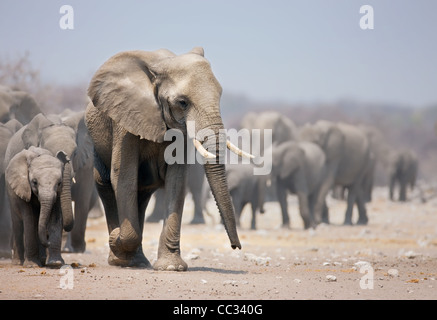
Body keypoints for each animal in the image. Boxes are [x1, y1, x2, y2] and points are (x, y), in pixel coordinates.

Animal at [84, 47, 249, 270]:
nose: (236, 247)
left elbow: (176, 181)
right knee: (106, 186)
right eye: (182, 103)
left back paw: (137, 261)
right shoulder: (125, 121)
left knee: (141, 193)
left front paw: (171, 267)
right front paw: (116, 240)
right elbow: (123, 176)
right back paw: (120, 260)